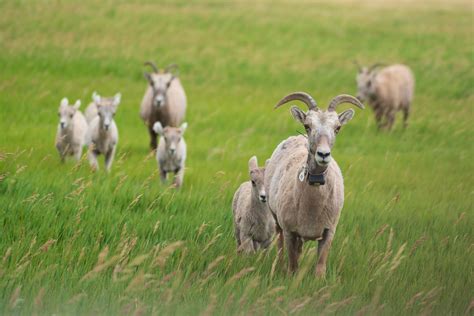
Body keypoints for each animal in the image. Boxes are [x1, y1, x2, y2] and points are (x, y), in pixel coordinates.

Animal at [264, 91, 364, 276]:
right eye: (307, 126)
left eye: (338, 128)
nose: (323, 154)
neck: (312, 206)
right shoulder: (289, 231)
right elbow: (292, 265)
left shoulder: (328, 232)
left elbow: (320, 268)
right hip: (276, 221)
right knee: (280, 247)